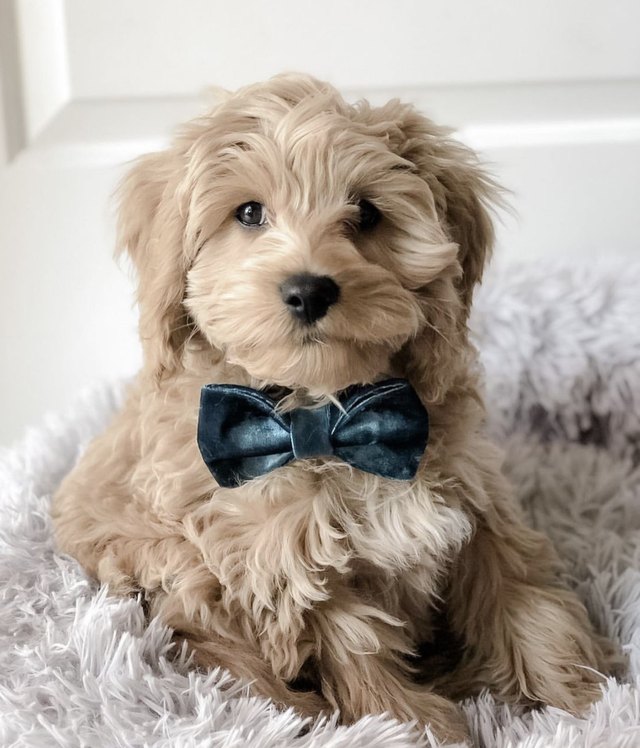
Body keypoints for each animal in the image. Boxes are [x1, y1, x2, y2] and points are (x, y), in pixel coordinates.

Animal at [52, 74, 612, 744]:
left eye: (367, 213)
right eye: (249, 213)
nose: (308, 289)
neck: (324, 415)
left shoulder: (477, 503)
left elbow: (520, 596)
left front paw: (585, 700)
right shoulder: (278, 559)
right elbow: (352, 640)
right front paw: (419, 725)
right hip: (168, 571)